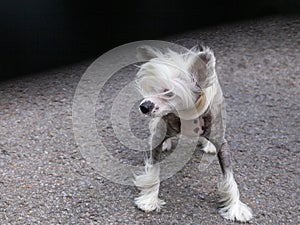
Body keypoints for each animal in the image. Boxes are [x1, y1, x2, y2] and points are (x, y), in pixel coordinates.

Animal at [134, 44, 253, 221]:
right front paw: (149, 199)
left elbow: (229, 176)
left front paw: (235, 207)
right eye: (151, 90)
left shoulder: (221, 143)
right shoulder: (159, 135)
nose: (144, 106)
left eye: (169, 93)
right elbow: (153, 169)